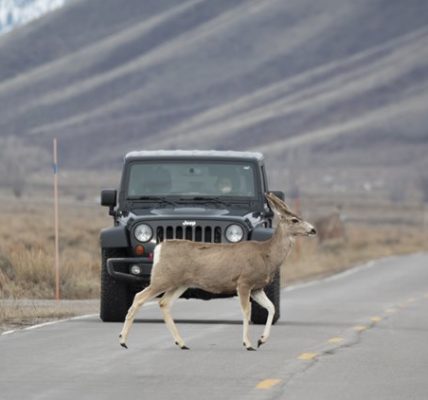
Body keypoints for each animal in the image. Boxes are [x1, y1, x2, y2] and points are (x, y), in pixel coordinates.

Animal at [119, 192, 316, 351]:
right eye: (295, 220)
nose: (313, 229)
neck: (266, 254)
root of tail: (160, 247)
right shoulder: (244, 282)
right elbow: (246, 311)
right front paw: (248, 343)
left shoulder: (257, 287)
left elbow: (271, 307)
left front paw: (261, 340)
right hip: (162, 278)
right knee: (139, 297)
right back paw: (123, 341)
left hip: (179, 283)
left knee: (164, 303)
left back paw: (181, 343)